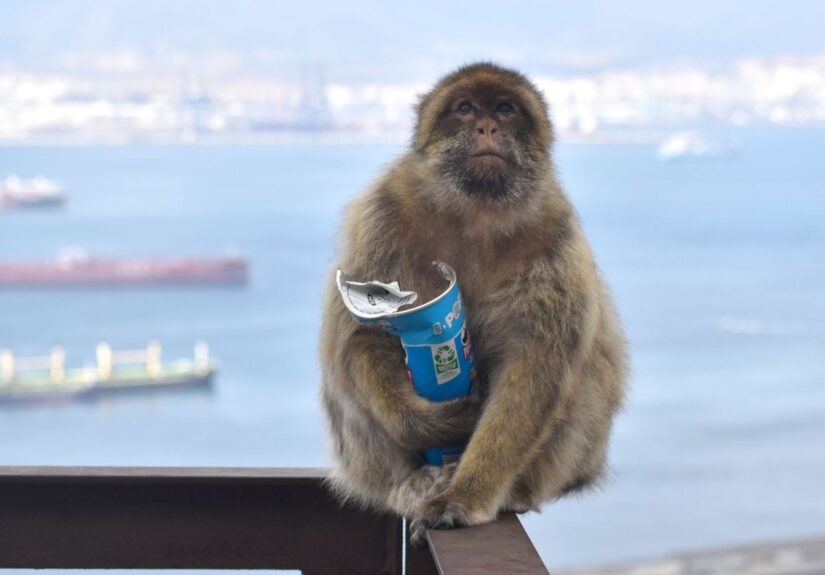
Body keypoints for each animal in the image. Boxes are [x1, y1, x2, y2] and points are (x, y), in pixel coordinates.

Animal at [319, 62, 628, 547]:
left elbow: (536, 365)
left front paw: (466, 496)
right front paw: (431, 424)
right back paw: (414, 481)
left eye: (505, 109)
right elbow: (362, 334)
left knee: (589, 372)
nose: (487, 127)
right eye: (465, 108)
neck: (476, 213)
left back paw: (512, 491)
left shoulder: (557, 237)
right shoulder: (381, 213)